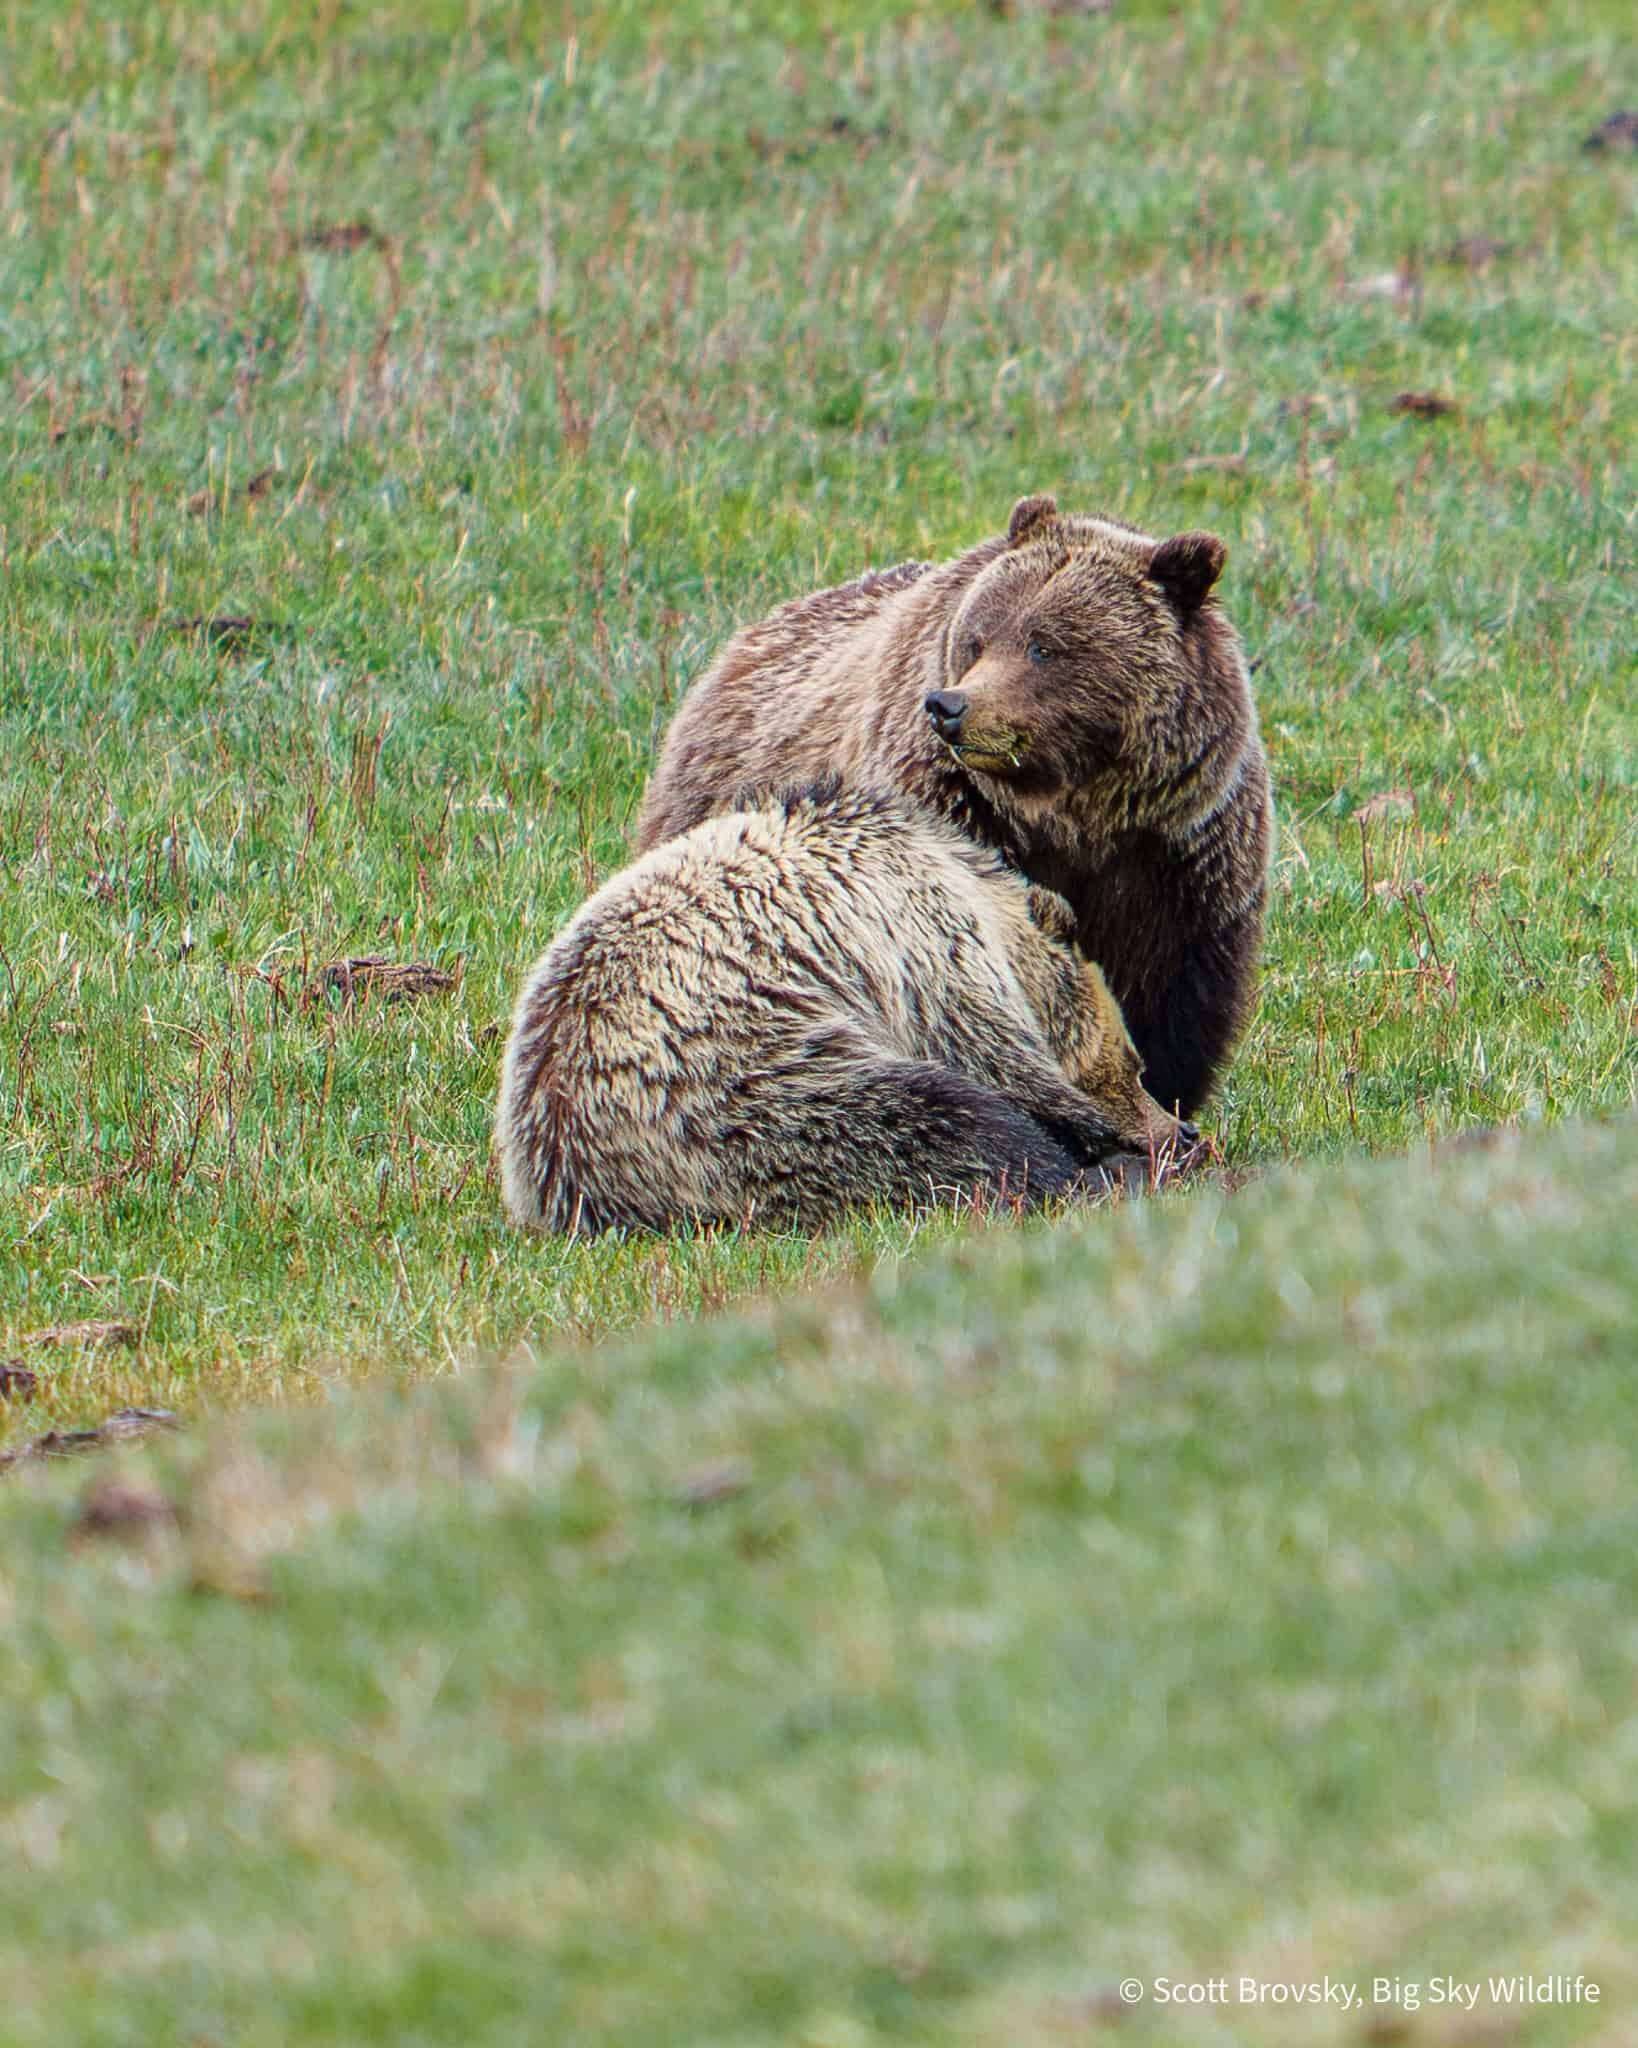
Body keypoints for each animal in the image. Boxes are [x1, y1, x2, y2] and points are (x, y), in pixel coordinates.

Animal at [496, 784, 1194, 1235]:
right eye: (1134, 1065)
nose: (1176, 1127)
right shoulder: (927, 945)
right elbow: (990, 1055)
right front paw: (1107, 1138)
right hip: (736, 1085)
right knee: (928, 1118)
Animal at [636, 494, 1273, 1120]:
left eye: (1044, 647)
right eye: (978, 639)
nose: (949, 707)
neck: (1075, 812)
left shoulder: (1175, 853)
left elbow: (1173, 994)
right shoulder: (952, 814)